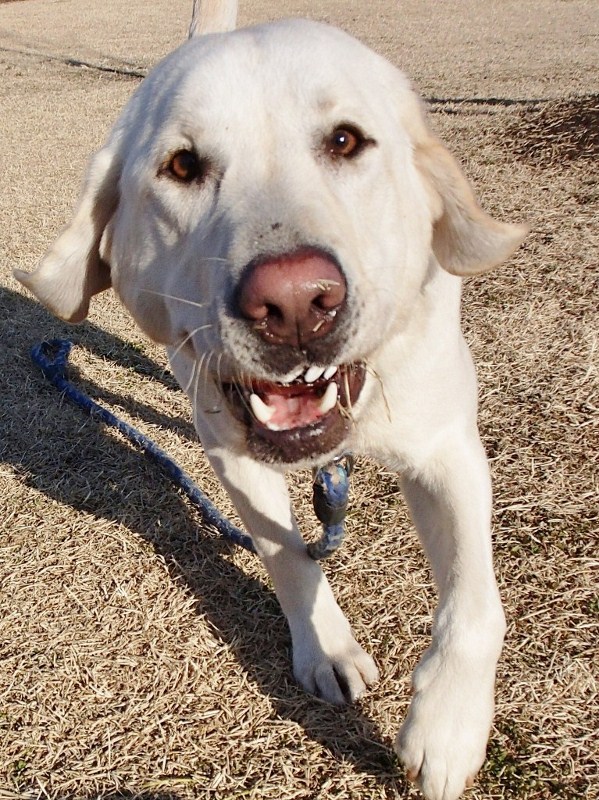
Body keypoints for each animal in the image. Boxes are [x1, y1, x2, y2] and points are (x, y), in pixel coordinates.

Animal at [16, 3, 528, 796]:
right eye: (183, 165)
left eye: (346, 140)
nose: (292, 303)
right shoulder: (234, 449)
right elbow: (286, 553)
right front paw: (326, 648)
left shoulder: (445, 444)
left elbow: (474, 603)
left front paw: (447, 728)